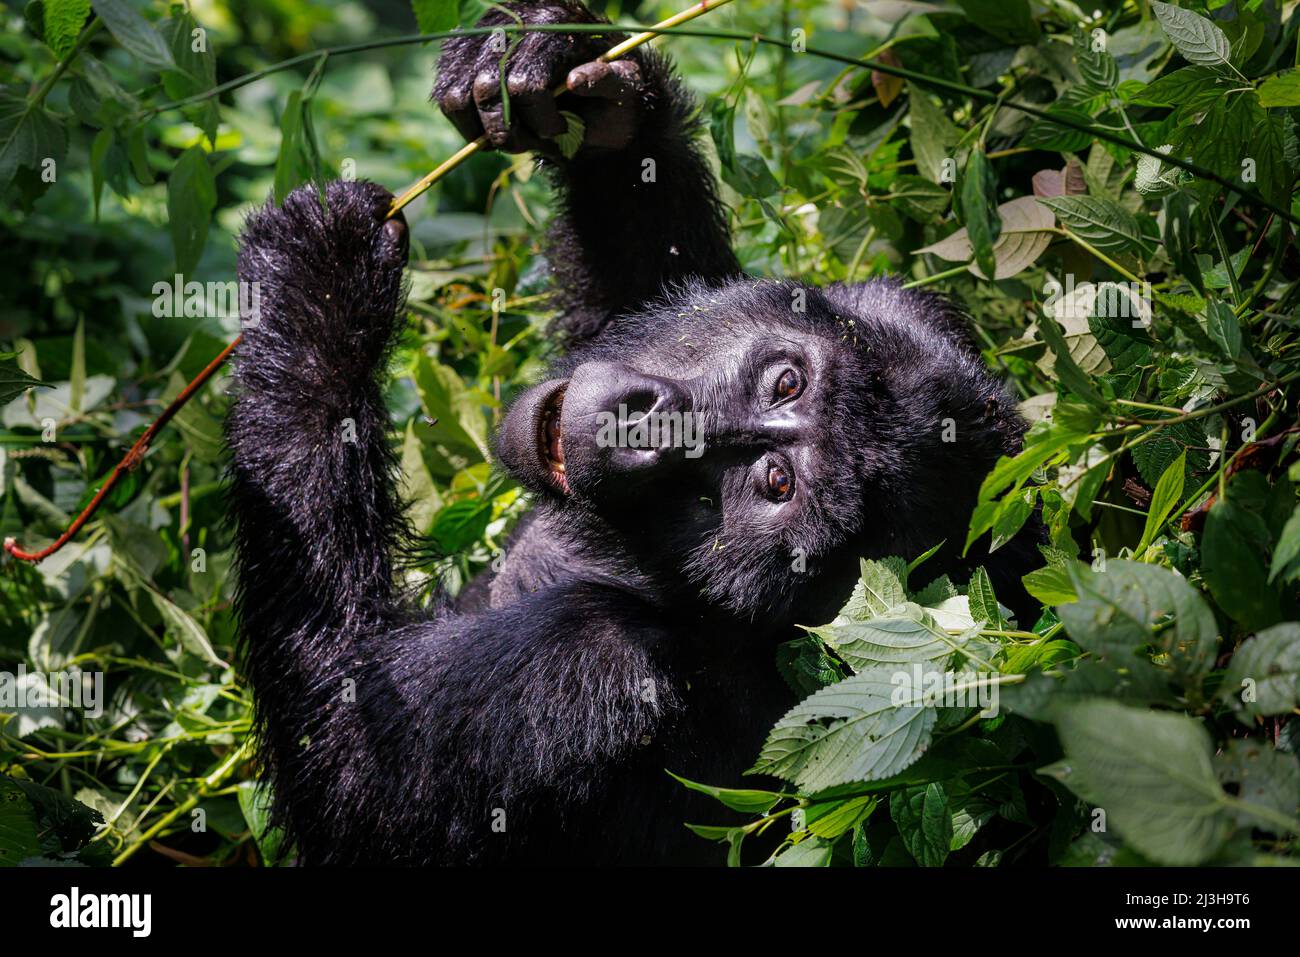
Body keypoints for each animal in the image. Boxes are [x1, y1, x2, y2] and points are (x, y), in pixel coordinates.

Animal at [223, 1, 1034, 868]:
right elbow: (664, 279)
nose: (651, 423)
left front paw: (321, 292)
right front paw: (579, 79)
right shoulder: (906, 309)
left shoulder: (589, 666)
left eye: (775, 486)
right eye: (785, 381)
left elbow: (344, 760)